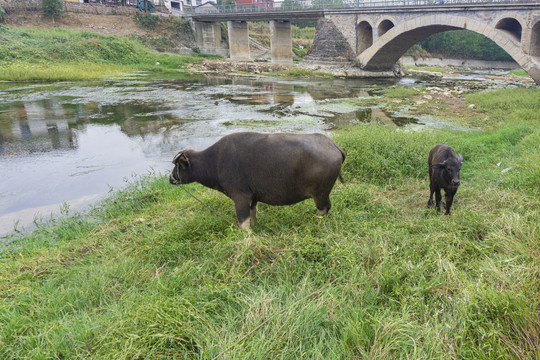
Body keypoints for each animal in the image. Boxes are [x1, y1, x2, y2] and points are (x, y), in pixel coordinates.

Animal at [170, 131, 346, 228]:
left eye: (178, 165)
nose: (171, 179)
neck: (215, 161)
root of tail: (333, 145)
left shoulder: (240, 196)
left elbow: (243, 222)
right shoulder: (253, 197)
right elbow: (253, 214)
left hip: (320, 194)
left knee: (324, 208)